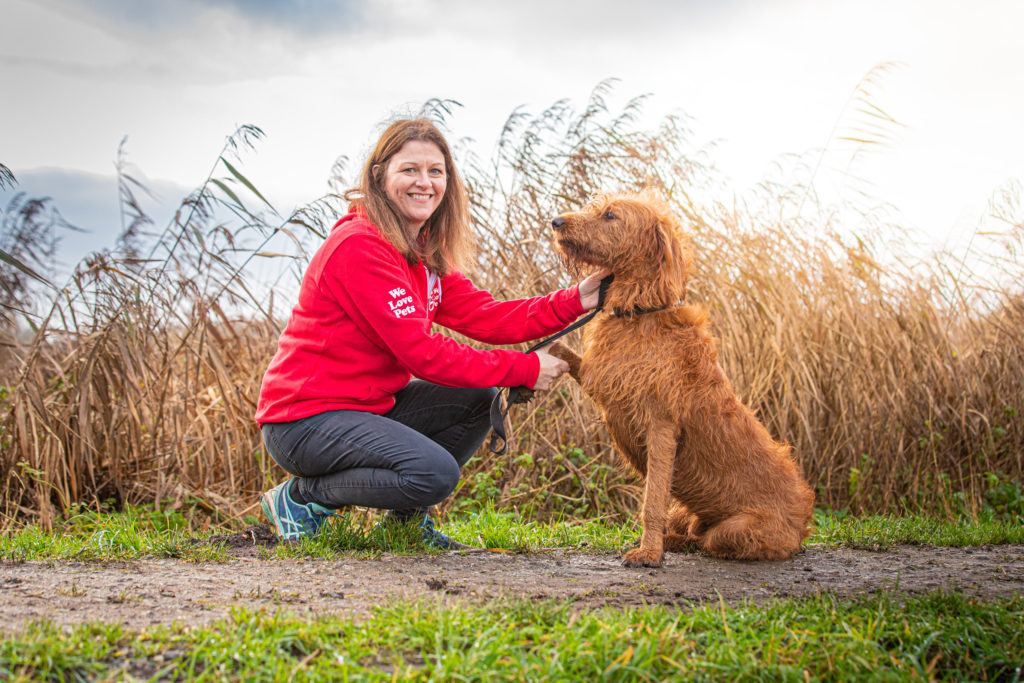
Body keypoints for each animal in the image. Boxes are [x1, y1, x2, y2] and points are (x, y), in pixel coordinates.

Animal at [548, 188, 811, 565]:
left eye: (611, 215)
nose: (556, 221)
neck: (639, 311)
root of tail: (803, 525)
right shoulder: (605, 379)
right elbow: (569, 357)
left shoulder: (661, 427)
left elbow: (652, 501)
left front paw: (648, 552)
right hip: (689, 513)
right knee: (692, 528)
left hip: (738, 530)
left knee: (708, 538)